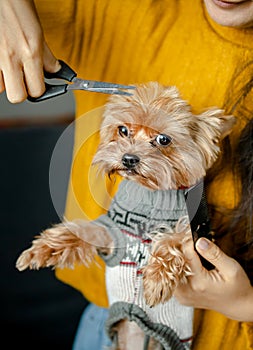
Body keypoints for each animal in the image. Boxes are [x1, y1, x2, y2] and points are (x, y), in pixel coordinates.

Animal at [16, 82, 236, 350]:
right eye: (123, 130)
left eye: (163, 139)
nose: (129, 158)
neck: (151, 195)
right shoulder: (112, 233)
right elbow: (82, 231)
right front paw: (40, 251)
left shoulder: (193, 233)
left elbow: (171, 241)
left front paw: (155, 282)